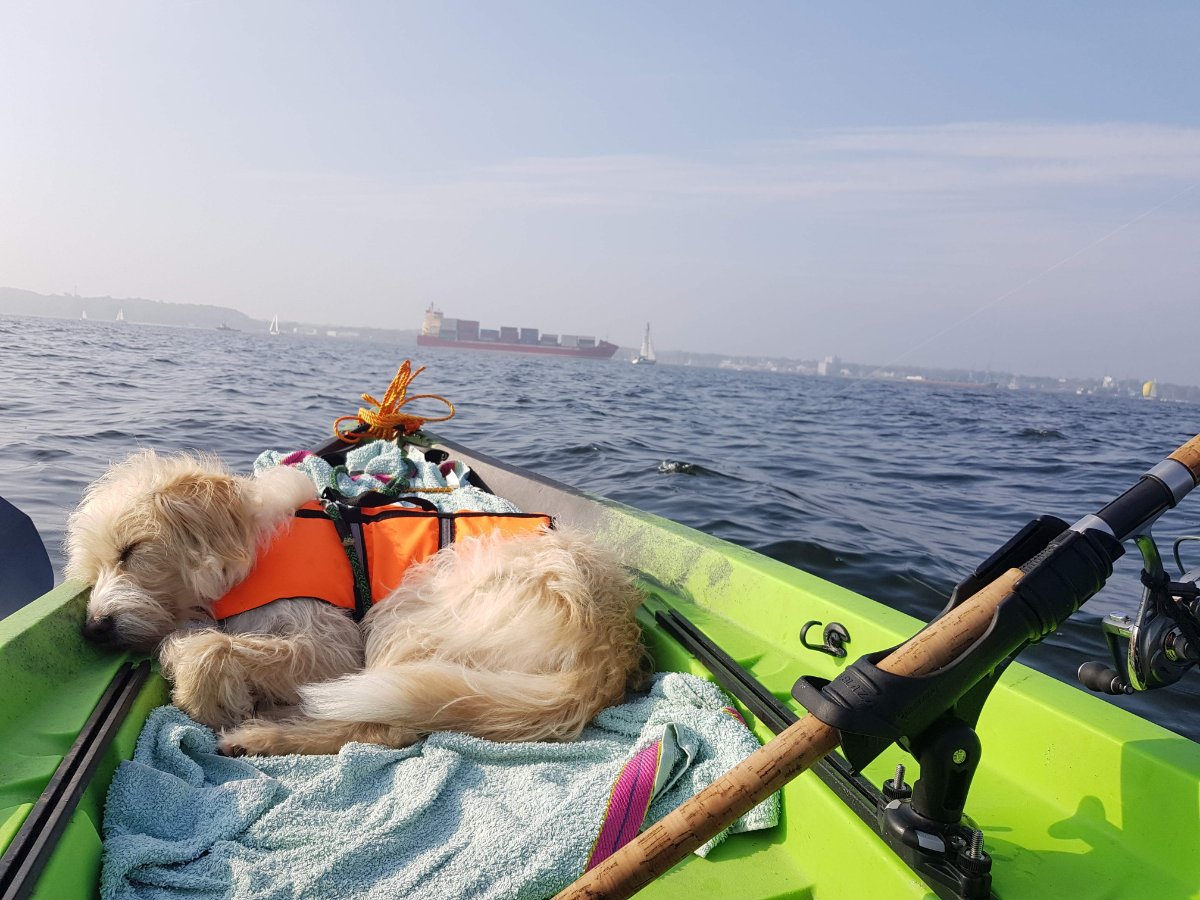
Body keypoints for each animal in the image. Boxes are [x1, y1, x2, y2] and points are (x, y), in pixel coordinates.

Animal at [65, 451, 648, 753]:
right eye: (92, 568)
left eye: (131, 551)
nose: (93, 629)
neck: (254, 548)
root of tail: (605, 653)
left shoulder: (331, 646)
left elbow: (212, 647)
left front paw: (201, 692)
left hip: (411, 613)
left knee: (383, 728)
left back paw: (263, 734)